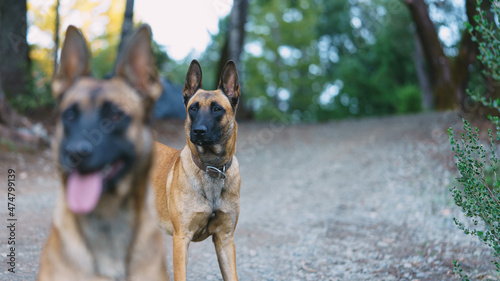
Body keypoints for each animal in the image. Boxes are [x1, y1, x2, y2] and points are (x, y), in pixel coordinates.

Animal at [153, 59, 241, 280]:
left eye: (217, 109)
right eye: (193, 108)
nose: (198, 131)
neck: (211, 168)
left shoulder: (225, 240)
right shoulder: (181, 239)